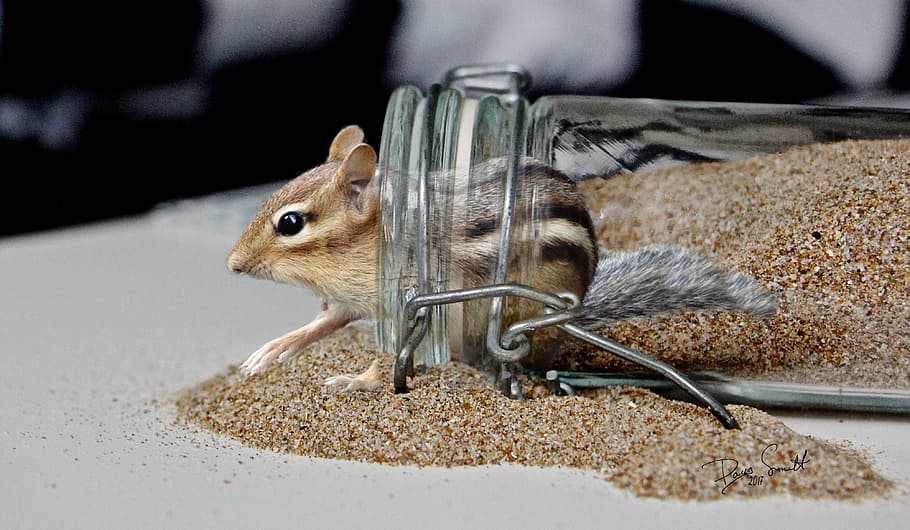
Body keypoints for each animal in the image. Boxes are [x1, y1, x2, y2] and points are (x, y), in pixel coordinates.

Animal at [227, 126, 778, 389]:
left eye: (290, 223)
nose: (232, 265)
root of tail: (571, 316)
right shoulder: (355, 300)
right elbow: (323, 324)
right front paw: (271, 352)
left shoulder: (409, 301)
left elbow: (390, 354)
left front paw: (356, 381)